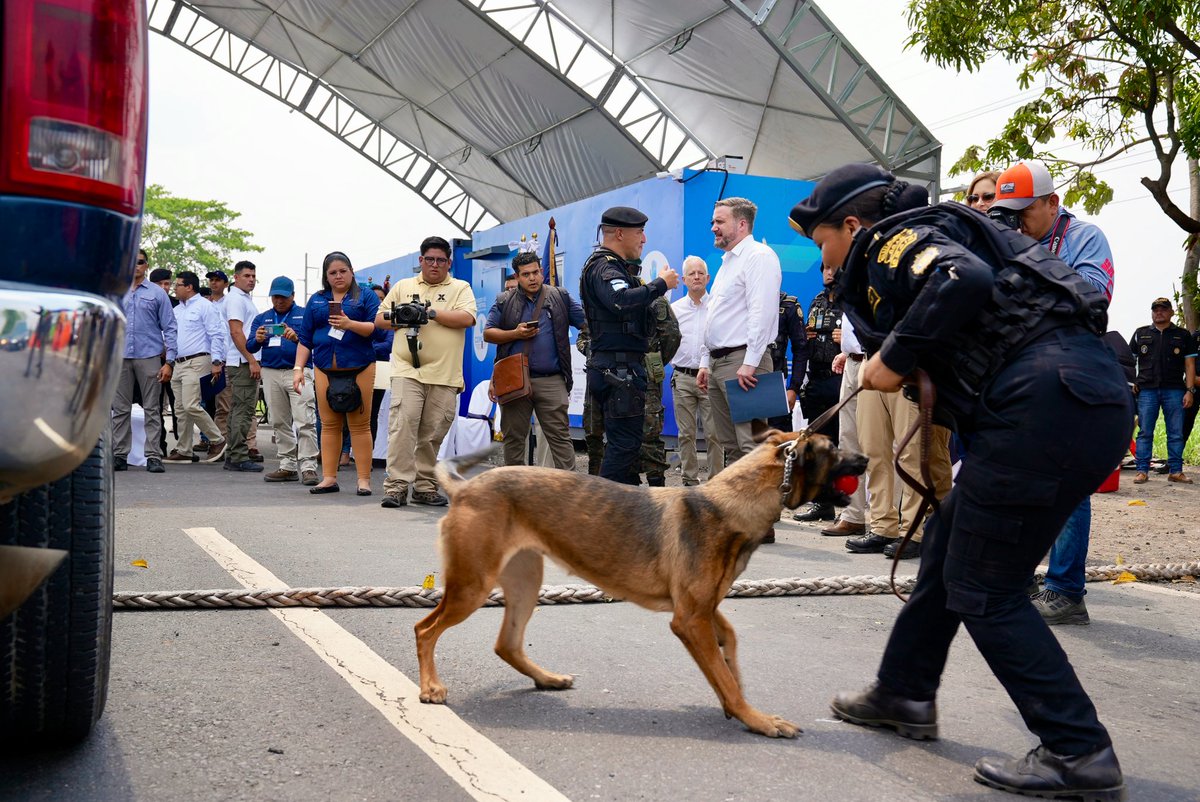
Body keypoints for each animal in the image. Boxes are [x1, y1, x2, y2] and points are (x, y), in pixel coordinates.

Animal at [412, 429, 864, 734]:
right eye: (834, 449)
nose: (864, 459)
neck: (730, 503)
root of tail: (466, 487)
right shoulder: (690, 620)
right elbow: (724, 673)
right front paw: (756, 718)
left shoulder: (703, 612)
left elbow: (729, 652)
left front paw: (736, 701)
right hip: (473, 586)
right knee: (424, 629)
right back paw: (431, 686)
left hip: (525, 583)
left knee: (505, 643)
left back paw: (546, 678)